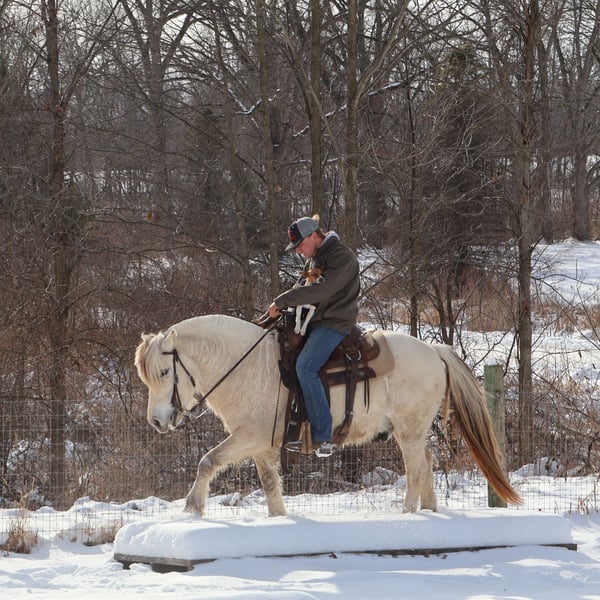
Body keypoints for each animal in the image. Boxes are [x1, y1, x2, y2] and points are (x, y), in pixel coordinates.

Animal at [134, 314, 521, 517]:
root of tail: (434, 351)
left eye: (164, 373)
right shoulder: (261, 445)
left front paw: (192, 507)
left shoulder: (249, 436)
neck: (248, 365)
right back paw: (429, 510)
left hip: (409, 430)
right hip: (413, 430)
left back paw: (408, 514)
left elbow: (207, 461)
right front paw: (278, 520)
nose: (157, 421)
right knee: (426, 463)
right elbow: (270, 484)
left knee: (414, 469)